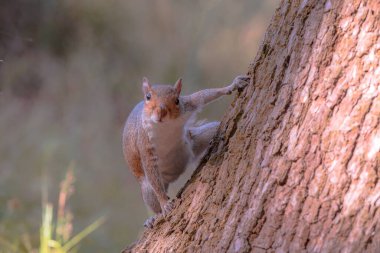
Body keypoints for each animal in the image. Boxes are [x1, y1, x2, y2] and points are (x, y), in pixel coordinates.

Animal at [123, 74, 251, 227]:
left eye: (177, 100)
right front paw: (165, 203)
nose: (161, 111)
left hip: (193, 141)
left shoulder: (187, 105)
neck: (163, 126)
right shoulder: (143, 143)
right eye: (148, 97)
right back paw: (153, 217)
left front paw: (233, 85)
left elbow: (202, 96)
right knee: (152, 194)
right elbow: (151, 171)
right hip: (147, 187)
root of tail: (172, 177)